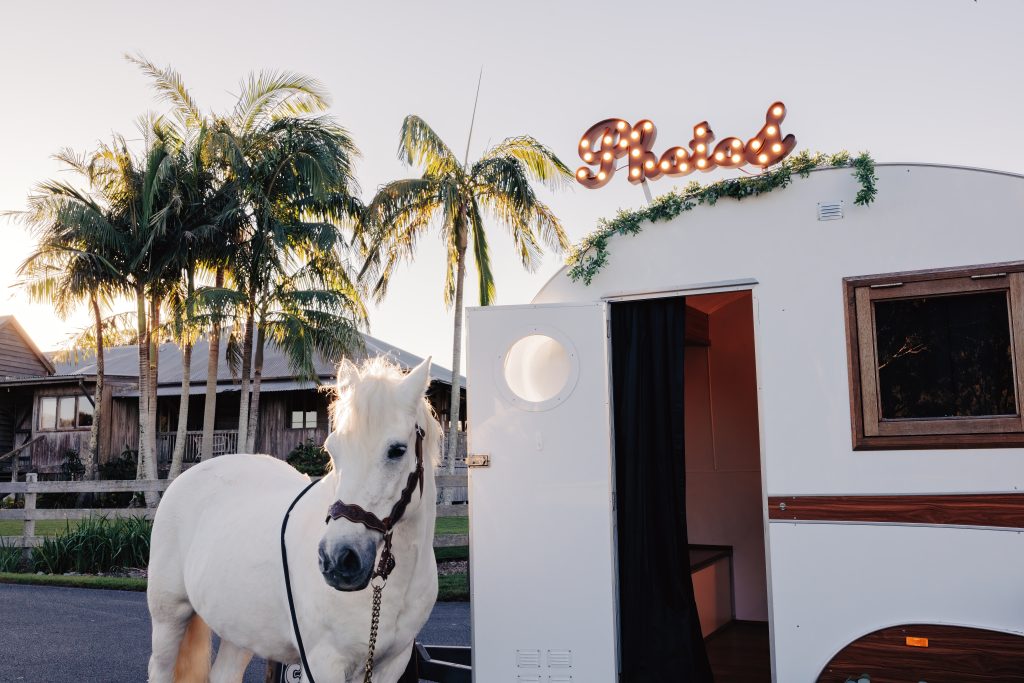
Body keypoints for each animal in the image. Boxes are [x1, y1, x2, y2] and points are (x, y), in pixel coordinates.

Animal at [147, 357, 440, 683]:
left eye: (397, 450)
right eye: (333, 449)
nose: (337, 559)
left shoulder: (392, 664)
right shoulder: (323, 663)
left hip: (241, 629)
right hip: (169, 617)